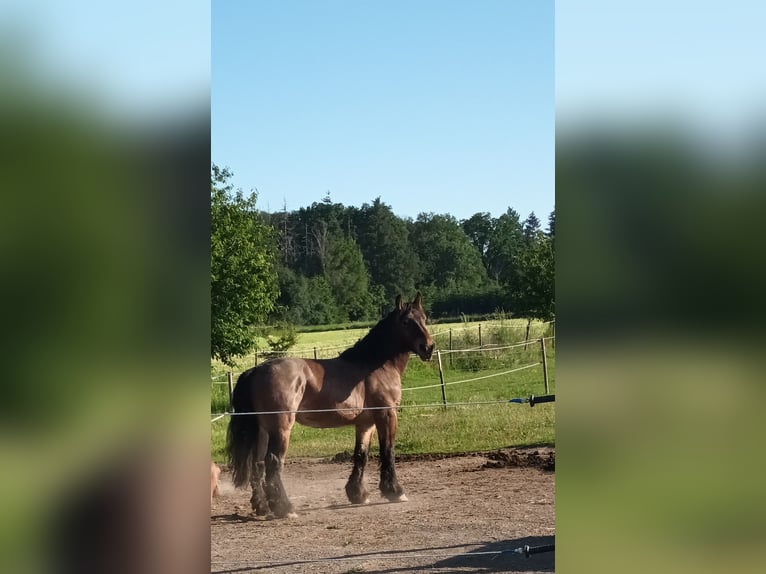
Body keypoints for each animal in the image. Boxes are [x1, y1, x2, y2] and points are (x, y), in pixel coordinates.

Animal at [225, 294, 436, 520]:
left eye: (424, 318)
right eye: (406, 321)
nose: (428, 348)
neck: (373, 366)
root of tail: (255, 371)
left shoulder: (365, 423)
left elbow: (361, 455)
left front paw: (358, 494)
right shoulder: (387, 415)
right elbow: (388, 450)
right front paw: (395, 491)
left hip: (262, 429)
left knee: (257, 464)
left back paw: (263, 507)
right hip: (280, 428)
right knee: (273, 462)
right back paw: (286, 508)